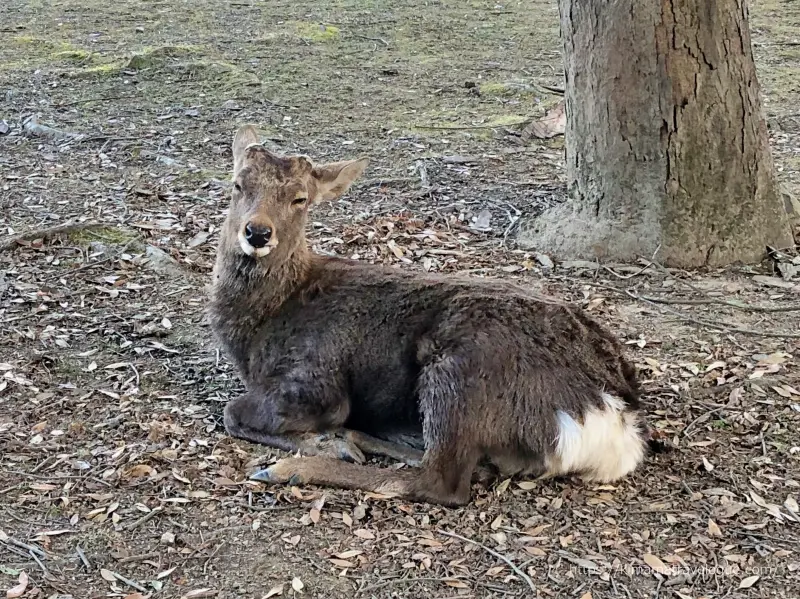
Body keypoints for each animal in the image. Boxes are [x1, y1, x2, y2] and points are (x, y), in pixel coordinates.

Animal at [209, 125, 660, 506]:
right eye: (238, 184)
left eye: (300, 198)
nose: (257, 233)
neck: (260, 328)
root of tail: (615, 416)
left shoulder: (315, 380)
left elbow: (234, 412)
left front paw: (316, 443)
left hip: (460, 372)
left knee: (442, 481)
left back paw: (293, 467)